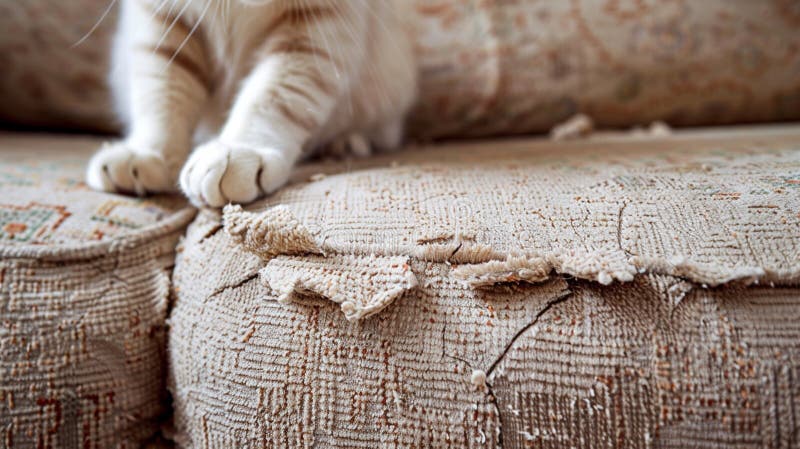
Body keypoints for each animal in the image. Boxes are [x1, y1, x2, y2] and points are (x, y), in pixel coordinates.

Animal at [86, 0, 418, 206]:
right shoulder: (162, 20)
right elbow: (161, 94)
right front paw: (148, 151)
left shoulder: (317, 29)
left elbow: (271, 96)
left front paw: (238, 149)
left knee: (382, 129)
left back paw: (345, 143)